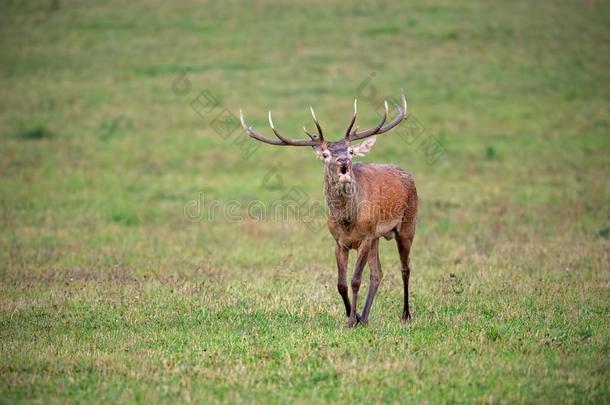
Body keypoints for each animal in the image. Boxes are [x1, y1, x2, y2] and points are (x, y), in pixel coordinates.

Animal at [240, 90, 416, 326]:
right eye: (325, 155)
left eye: (351, 151)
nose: (343, 161)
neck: (348, 221)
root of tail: (408, 175)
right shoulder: (339, 241)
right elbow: (341, 284)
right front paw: (354, 316)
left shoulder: (365, 237)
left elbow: (355, 280)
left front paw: (351, 321)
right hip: (378, 237)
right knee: (378, 273)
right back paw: (366, 317)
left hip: (407, 224)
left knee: (405, 268)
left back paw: (405, 314)